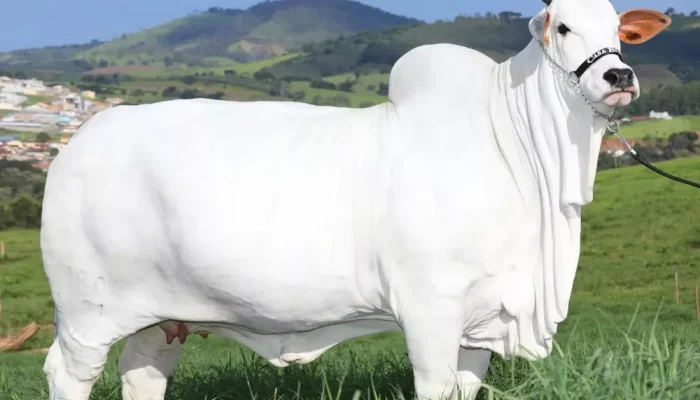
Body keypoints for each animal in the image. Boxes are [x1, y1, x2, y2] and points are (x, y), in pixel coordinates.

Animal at [40, 1, 670, 399]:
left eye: (619, 28)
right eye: (562, 27)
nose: (619, 76)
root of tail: (81, 140)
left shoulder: (481, 319)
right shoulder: (430, 307)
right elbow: (434, 387)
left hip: (161, 317)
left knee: (142, 374)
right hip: (86, 313)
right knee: (67, 376)